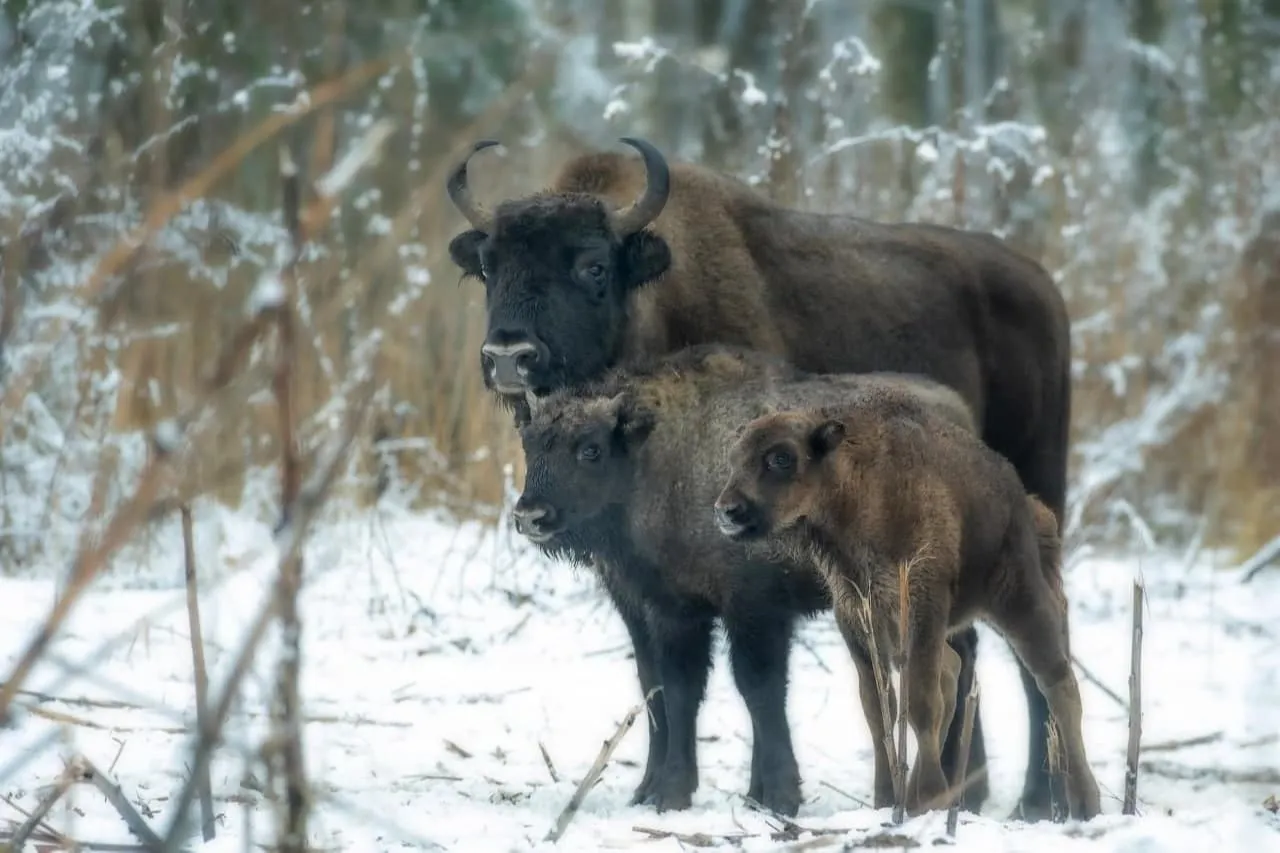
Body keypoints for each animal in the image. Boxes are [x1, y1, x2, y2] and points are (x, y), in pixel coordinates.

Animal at [509, 343, 977, 809]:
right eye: (529, 444)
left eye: (590, 448)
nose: (530, 515)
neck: (661, 457)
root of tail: (957, 416)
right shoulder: (669, 610)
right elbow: (671, 690)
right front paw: (675, 790)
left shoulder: (748, 611)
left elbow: (754, 691)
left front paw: (771, 795)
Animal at [716, 394, 1105, 819]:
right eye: (734, 459)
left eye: (781, 458)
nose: (728, 510)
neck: (859, 490)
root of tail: (1025, 503)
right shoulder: (857, 618)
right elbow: (878, 707)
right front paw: (888, 799)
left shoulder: (922, 605)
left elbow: (920, 702)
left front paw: (928, 795)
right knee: (953, 671)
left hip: (1019, 601)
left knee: (1057, 684)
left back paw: (1086, 802)